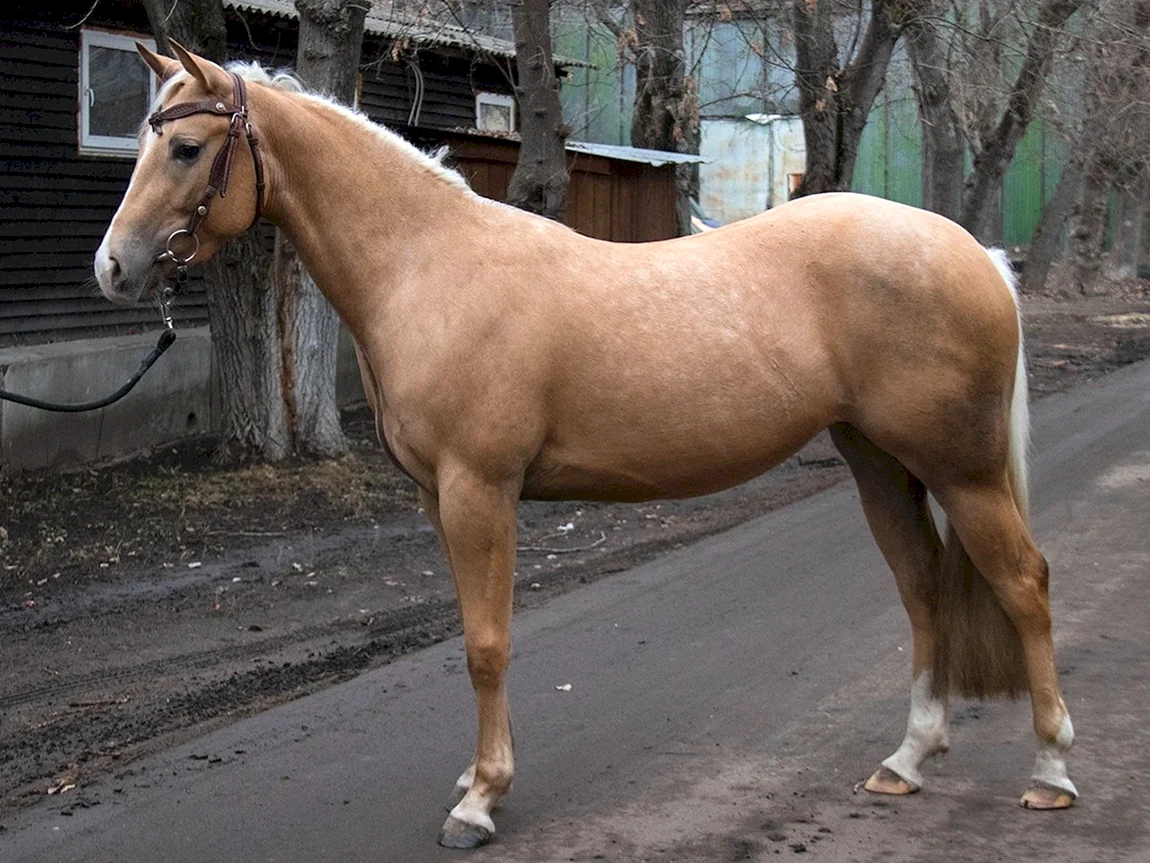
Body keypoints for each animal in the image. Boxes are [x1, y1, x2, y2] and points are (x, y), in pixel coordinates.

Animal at [94, 41, 1077, 849]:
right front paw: (478, 773)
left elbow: (487, 643)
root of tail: (977, 254)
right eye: (143, 139)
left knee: (1023, 585)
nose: (113, 266)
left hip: (964, 472)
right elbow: (473, 630)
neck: (428, 266)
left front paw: (480, 800)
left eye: (187, 149)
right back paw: (906, 760)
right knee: (923, 587)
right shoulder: (438, 498)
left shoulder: (480, 489)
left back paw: (1051, 771)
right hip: (880, 463)